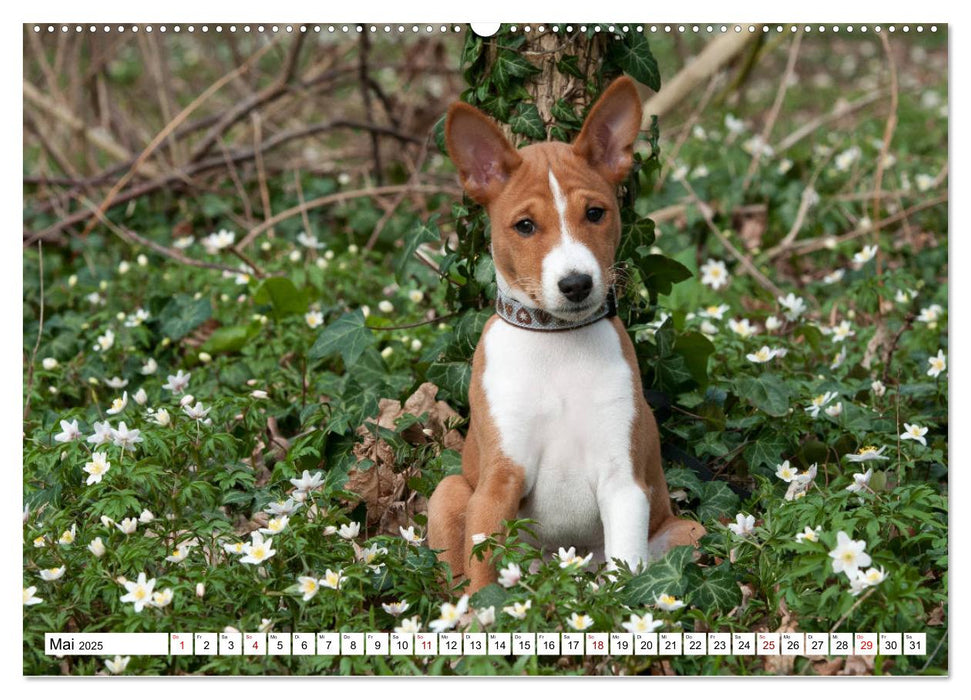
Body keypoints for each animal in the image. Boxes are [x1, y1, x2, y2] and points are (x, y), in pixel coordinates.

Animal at [430, 75, 704, 592]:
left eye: (595, 213)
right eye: (524, 226)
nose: (576, 284)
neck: (556, 342)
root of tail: (562, 570)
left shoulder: (623, 481)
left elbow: (627, 572)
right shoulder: (499, 480)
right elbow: (482, 571)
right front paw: (481, 610)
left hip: (687, 531)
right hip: (449, 491)